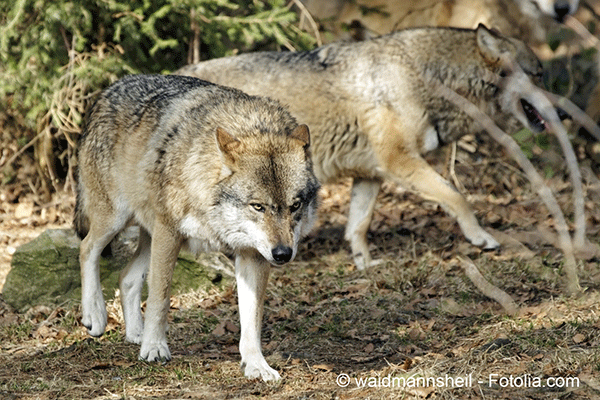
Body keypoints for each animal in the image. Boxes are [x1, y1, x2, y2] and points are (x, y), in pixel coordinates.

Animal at [75, 74, 318, 382]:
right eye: (258, 207)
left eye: (295, 205)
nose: (283, 254)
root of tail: (109, 89)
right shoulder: (169, 233)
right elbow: (160, 298)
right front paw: (154, 348)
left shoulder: (252, 255)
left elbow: (252, 319)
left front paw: (256, 365)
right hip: (116, 219)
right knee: (87, 249)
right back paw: (95, 315)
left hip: (148, 233)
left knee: (126, 277)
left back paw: (135, 334)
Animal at [176, 25, 548, 268]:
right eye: (539, 75)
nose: (559, 113)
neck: (424, 77)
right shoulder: (400, 162)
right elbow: (457, 196)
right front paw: (481, 237)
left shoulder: (371, 174)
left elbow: (358, 226)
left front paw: (364, 265)